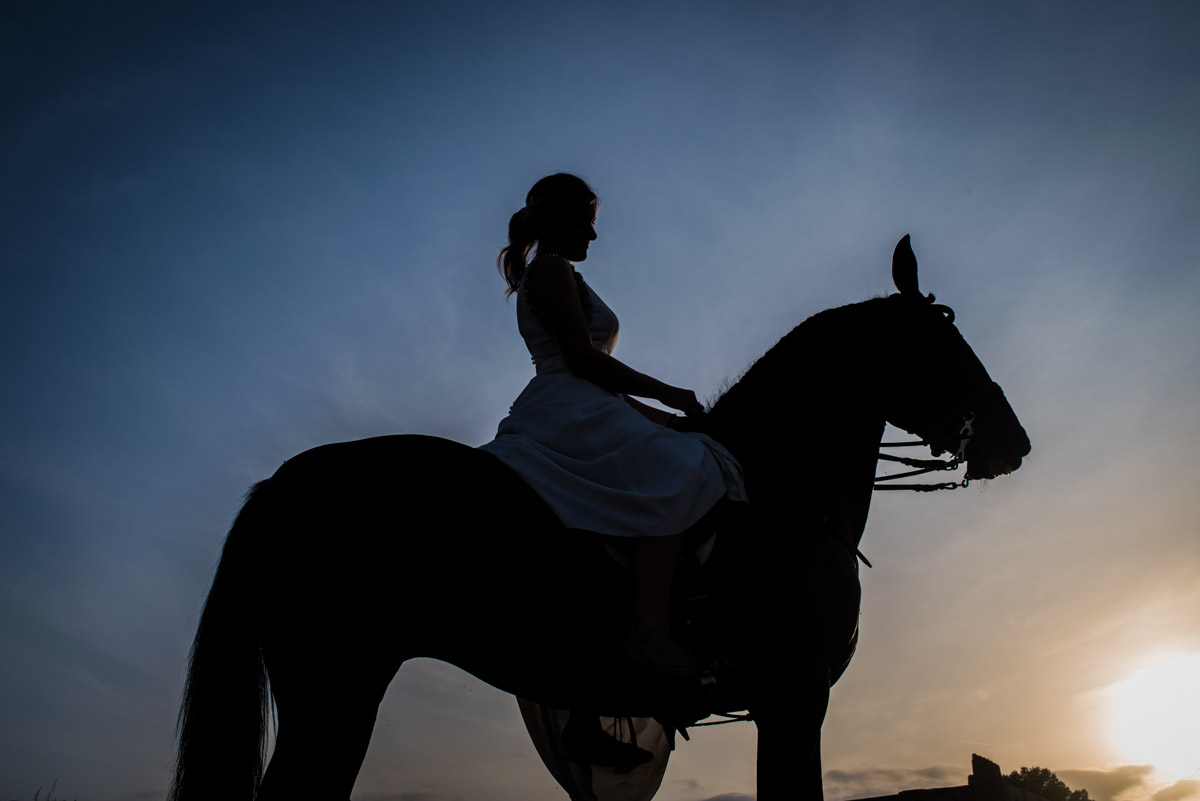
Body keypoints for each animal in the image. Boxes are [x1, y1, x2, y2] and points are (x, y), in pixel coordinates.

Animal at [168, 235, 1030, 801]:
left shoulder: (783, 704)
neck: (779, 484)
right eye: (947, 343)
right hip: (336, 684)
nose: (1014, 442)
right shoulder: (794, 695)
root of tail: (281, 481)